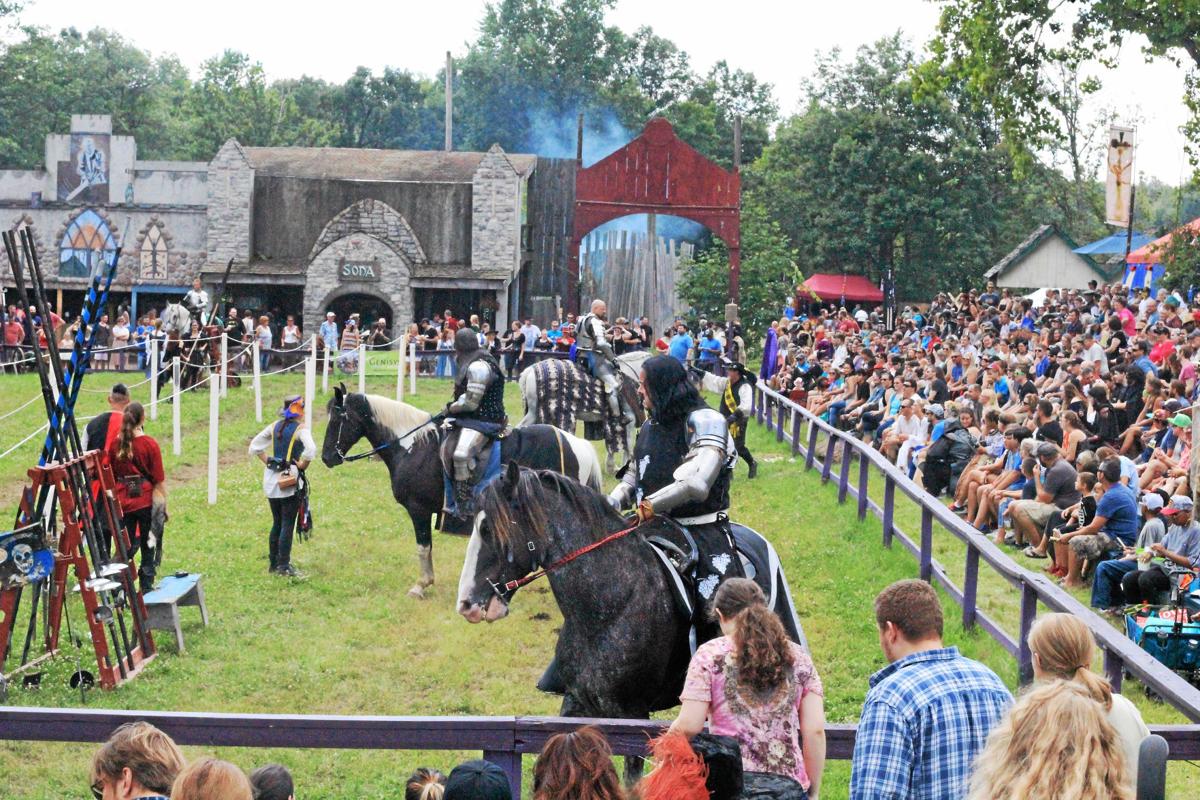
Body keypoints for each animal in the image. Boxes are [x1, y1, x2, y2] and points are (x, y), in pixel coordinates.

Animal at [324, 383, 604, 597]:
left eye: (338, 418)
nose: (327, 457)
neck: (412, 446)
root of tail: (577, 444)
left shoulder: (418, 511)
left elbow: (423, 547)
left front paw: (421, 585)